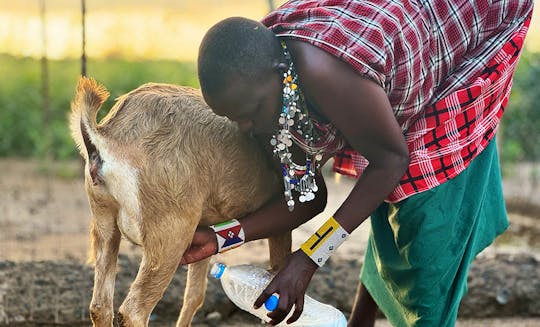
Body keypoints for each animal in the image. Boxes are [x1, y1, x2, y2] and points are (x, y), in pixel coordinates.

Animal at [70, 77, 294, 327]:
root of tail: (106, 135)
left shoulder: (205, 228)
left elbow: (194, 295)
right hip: (170, 234)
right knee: (134, 310)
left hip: (103, 218)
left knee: (100, 305)